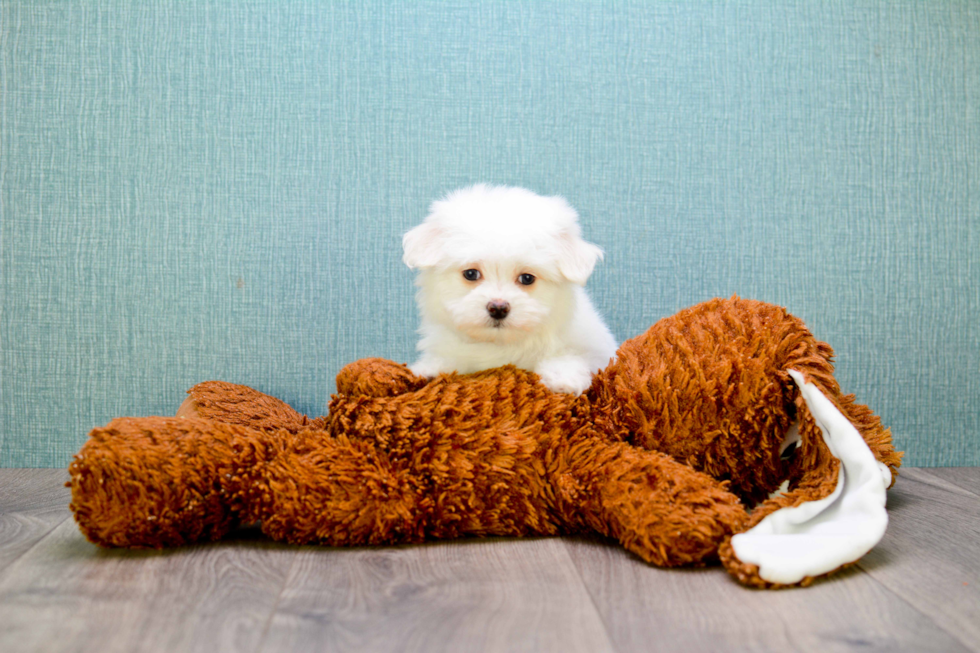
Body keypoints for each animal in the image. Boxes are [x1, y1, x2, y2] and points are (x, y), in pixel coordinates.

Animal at [402, 185, 616, 398]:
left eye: (527, 278)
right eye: (471, 274)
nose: (498, 308)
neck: (500, 344)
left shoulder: (594, 349)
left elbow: (571, 355)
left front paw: (563, 378)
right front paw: (429, 369)